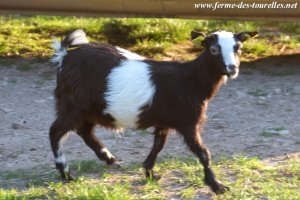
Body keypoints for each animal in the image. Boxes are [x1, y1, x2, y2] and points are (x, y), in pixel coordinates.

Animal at [49, 28, 258, 193]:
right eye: (214, 50)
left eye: (238, 48)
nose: (232, 68)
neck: (190, 80)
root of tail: (64, 57)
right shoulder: (188, 122)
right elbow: (203, 152)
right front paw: (217, 185)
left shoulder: (164, 122)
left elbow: (158, 144)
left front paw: (149, 172)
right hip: (72, 105)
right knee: (56, 131)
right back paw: (66, 173)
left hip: (89, 109)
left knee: (85, 132)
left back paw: (111, 159)